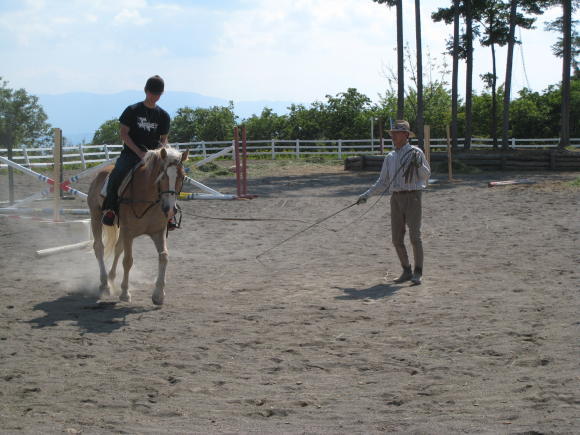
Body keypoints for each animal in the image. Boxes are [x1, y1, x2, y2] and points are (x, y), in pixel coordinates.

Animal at [87, 146, 189, 306]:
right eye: (162, 176)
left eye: (182, 176)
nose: (170, 209)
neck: (148, 199)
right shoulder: (129, 232)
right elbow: (128, 260)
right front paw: (125, 293)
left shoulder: (158, 232)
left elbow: (164, 256)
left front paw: (158, 295)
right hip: (96, 217)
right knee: (99, 248)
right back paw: (105, 285)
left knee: (117, 248)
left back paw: (111, 279)